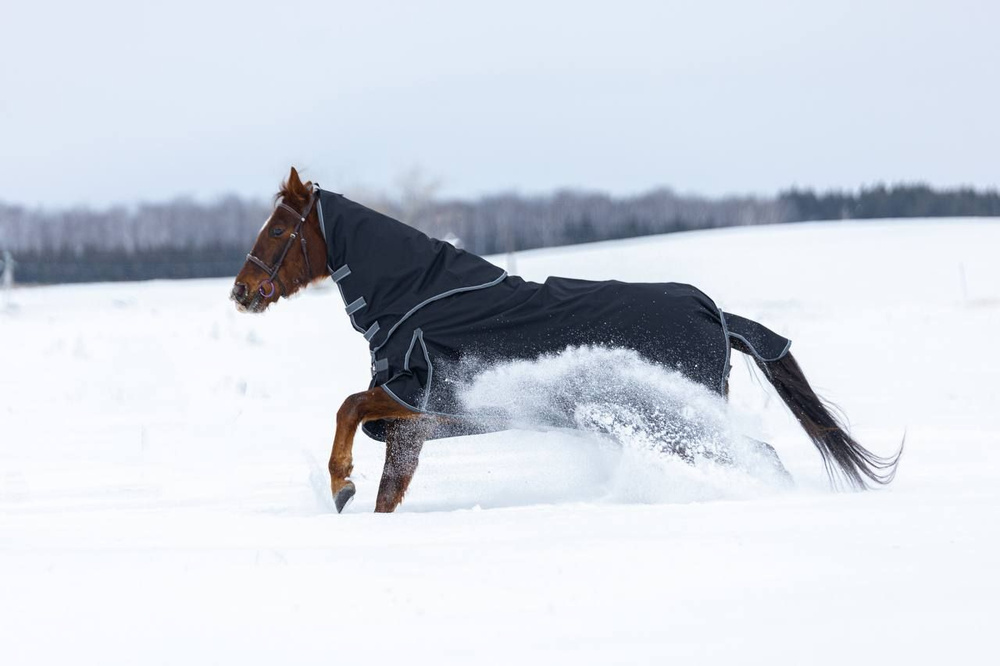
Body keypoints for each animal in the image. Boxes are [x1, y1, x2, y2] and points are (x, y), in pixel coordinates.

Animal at [230, 169, 904, 510]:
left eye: (280, 229)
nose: (241, 291)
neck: (418, 298)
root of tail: (714, 312)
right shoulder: (409, 429)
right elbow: (387, 492)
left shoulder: (416, 399)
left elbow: (347, 408)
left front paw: (338, 484)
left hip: (683, 416)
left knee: (757, 455)